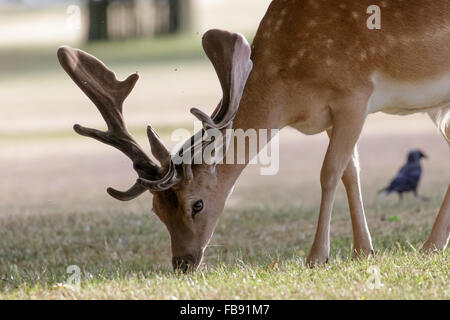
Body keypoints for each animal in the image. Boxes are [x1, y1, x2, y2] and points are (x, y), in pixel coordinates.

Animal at [58, 0, 448, 272]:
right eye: (156, 210)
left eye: (197, 204)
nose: (182, 264)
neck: (291, 92)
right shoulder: (332, 116)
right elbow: (351, 172)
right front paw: (364, 252)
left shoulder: (355, 94)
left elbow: (329, 172)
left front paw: (317, 257)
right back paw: (433, 245)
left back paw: (430, 245)